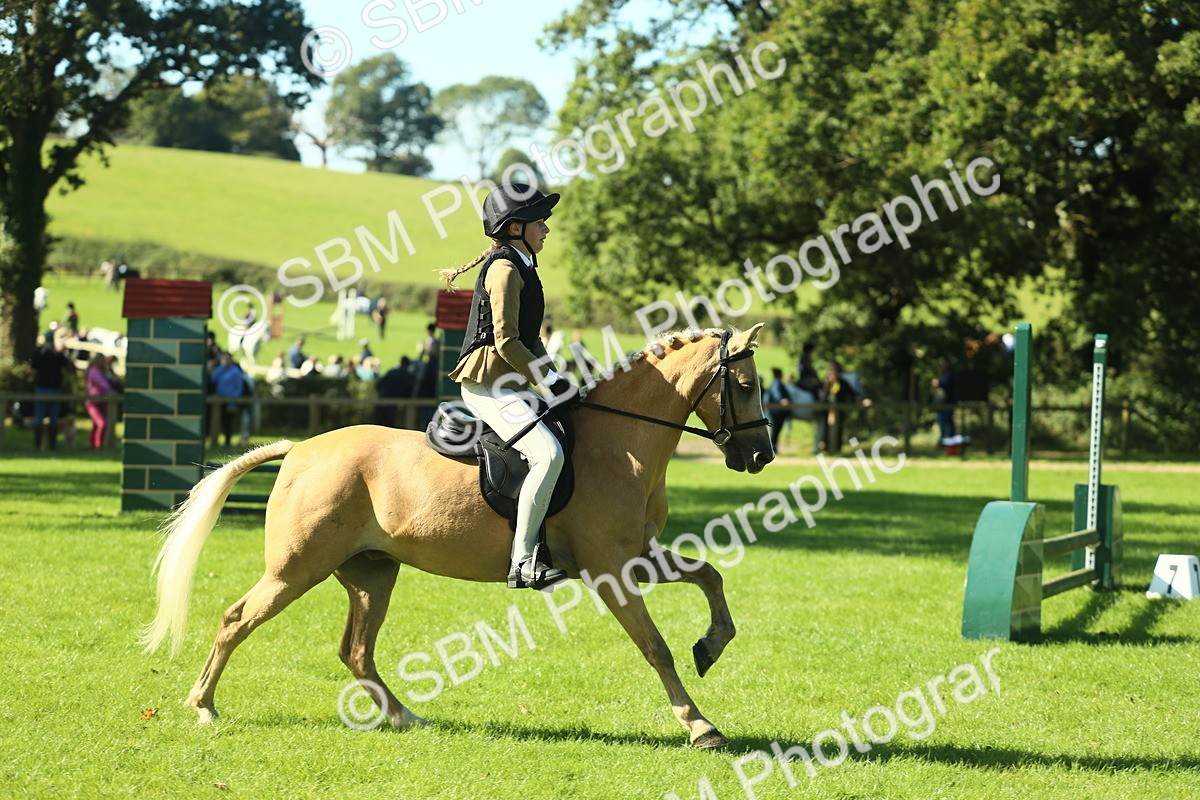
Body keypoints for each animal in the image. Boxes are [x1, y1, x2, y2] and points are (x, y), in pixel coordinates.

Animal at [143, 324, 775, 748]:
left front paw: (711, 646)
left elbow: (709, 576)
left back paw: (404, 716)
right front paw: (700, 726)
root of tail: (299, 449)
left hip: (372, 572)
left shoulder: (636, 555)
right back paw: (203, 706)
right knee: (237, 620)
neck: (619, 442)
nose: (761, 456)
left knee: (356, 650)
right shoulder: (609, 569)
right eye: (744, 384)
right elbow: (655, 646)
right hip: (296, 569)